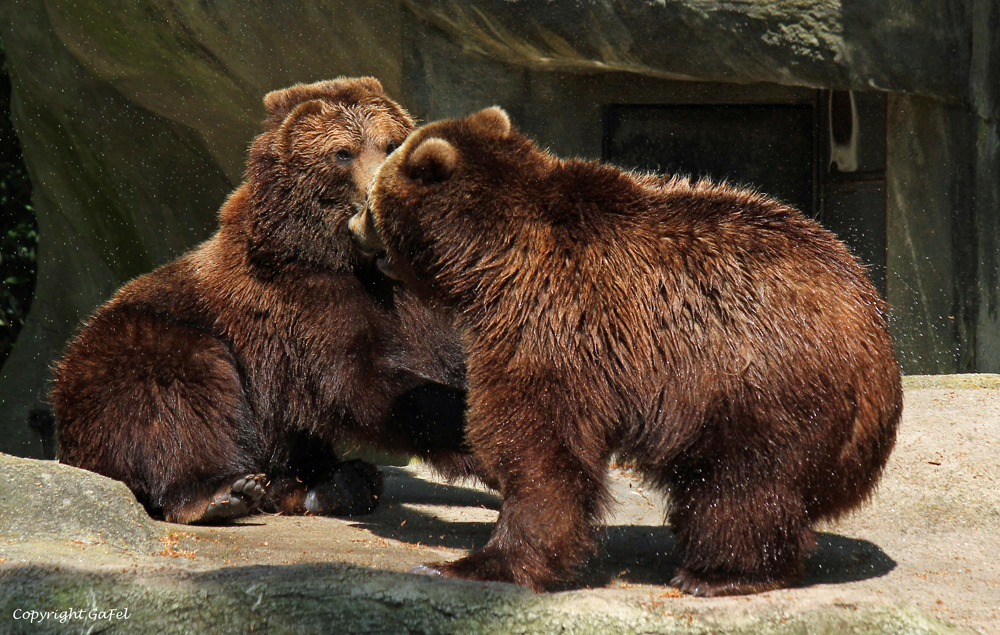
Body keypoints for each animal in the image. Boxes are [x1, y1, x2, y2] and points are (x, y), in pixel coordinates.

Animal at [52, 78, 482, 528]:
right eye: (342, 152)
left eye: (391, 143)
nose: (377, 196)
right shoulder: (301, 304)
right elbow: (365, 382)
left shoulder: (421, 303)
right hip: (131, 347)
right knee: (174, 388)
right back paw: (221, 492)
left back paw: (335, 484)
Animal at [352, 107, 908, 600]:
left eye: (372, 197)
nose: (353, 225)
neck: (488, 260)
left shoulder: (549, 326)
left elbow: (541, 452)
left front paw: (474, 563)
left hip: (761, 387)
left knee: (741, 486)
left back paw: (718, 573)